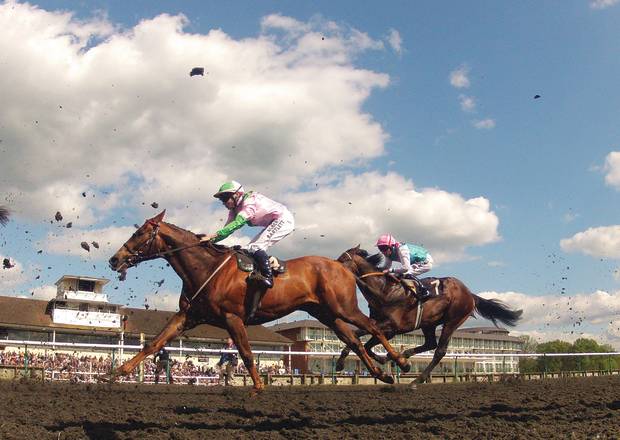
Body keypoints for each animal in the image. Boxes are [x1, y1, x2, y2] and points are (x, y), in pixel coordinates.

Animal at [109, 211, 410, 394]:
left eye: (138, 233)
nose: (114, 259)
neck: (206, 268)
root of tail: (340, 265)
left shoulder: (232, 318)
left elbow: (245, 352)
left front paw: (257, 387)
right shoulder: (188, 315)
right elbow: (155, 343)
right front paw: (115, 373)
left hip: (344, 307)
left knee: (373, 327)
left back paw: (400, 362)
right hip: (327, 314)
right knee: (355, 340)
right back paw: (382, 374)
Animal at [336, 246, 520, 384]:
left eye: (343, 258)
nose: (333, 267)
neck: (384, 291)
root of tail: (469, 294)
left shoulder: (391, 327)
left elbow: (361, 339)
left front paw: (398, 363)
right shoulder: (383, 327)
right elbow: (361, 340)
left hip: (453, 320)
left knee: (439, 351)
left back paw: (416, 380)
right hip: (428, 323)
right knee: (430, 343)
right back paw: (404, 357)